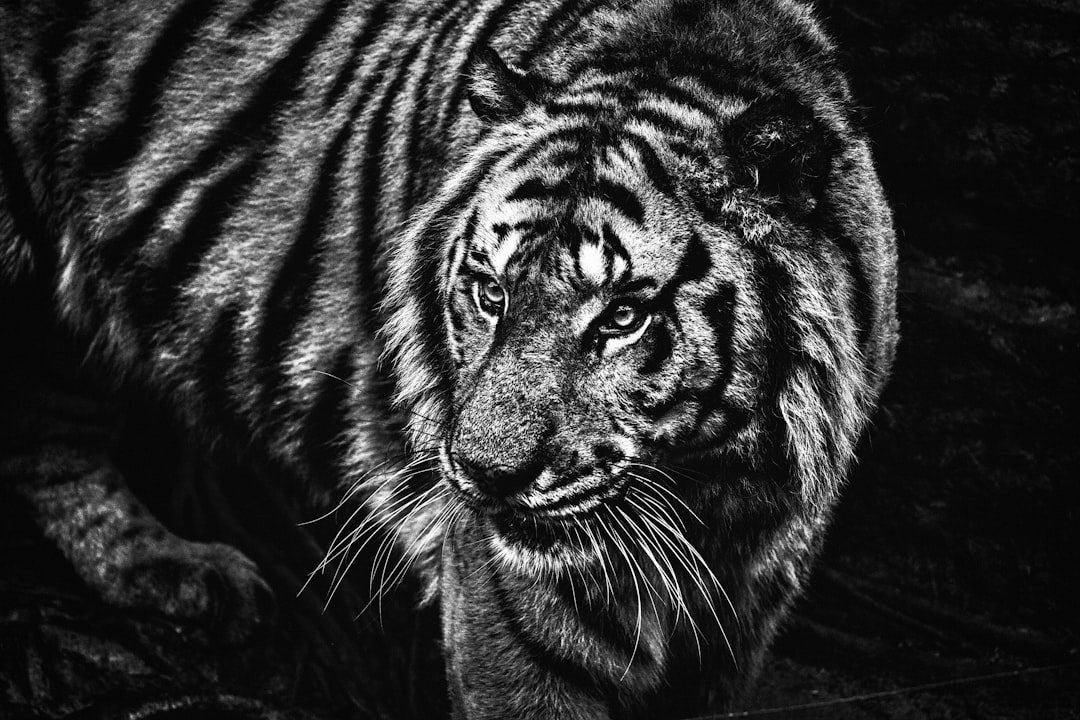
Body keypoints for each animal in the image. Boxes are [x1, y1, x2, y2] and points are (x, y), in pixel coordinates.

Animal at [0, 0, 898, 717]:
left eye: (622, 317)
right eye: (491, 292)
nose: (484, 475)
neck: (714, 486)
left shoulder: (747, 609)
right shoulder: (517, 614)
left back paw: (160, 569)